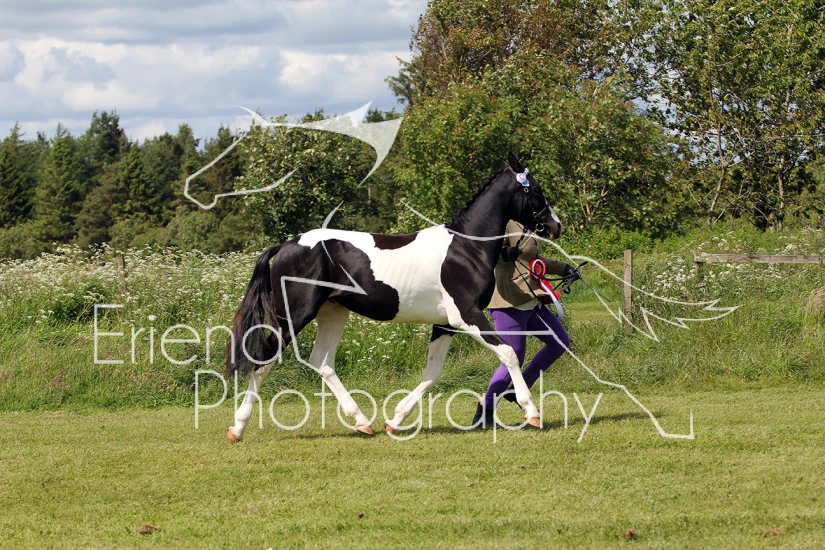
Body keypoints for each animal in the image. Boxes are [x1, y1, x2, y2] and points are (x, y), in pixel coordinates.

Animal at [225, 152, 562, 441]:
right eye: (536, 190)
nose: (555, 226)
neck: (466, 248)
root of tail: (286, 245)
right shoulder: (467, 316)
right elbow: (509, 353)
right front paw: (532, 412)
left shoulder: (445, 324)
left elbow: (432, 372)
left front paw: (396, 420)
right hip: (294, 316)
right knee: (263, 359)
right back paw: (237, 428)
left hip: (333, 312)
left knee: (321, 361)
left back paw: (362, 422)